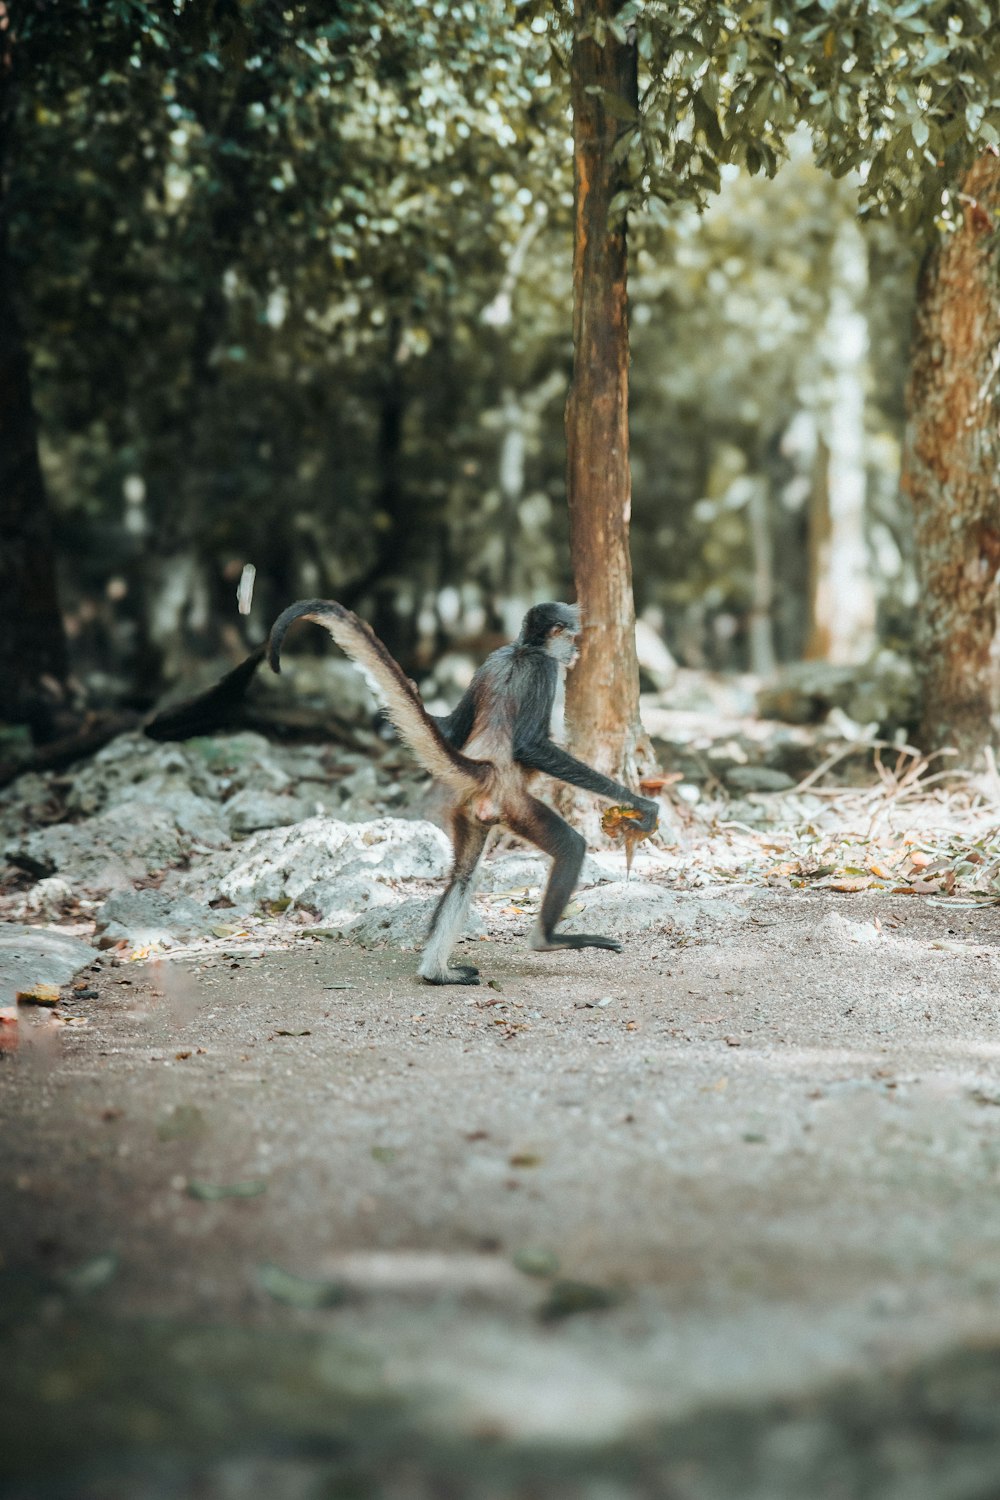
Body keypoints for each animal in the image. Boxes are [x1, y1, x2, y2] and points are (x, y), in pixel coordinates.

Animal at [265, 597, 659, 984]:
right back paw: (546, 940)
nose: (576, 652)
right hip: (514, 804)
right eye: (572, 637)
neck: (522, 649)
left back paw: (436, 974)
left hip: (471, 811)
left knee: (463, 877)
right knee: (570, 846)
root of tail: (486, 769)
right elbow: (529, 746)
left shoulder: (492, 658)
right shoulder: (543, 667)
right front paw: (637, 802)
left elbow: (454, 728)